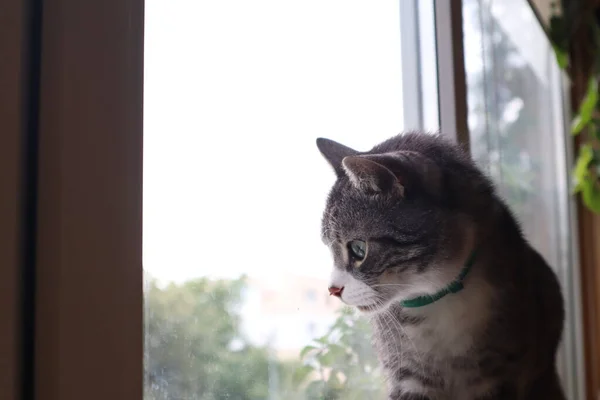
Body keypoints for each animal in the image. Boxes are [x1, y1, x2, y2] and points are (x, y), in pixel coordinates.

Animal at [316, 132, 564, 400]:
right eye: (329, 248)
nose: (333, 290)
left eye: (358, 249)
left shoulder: (500, 375)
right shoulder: (407, 376)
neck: (438, 299)